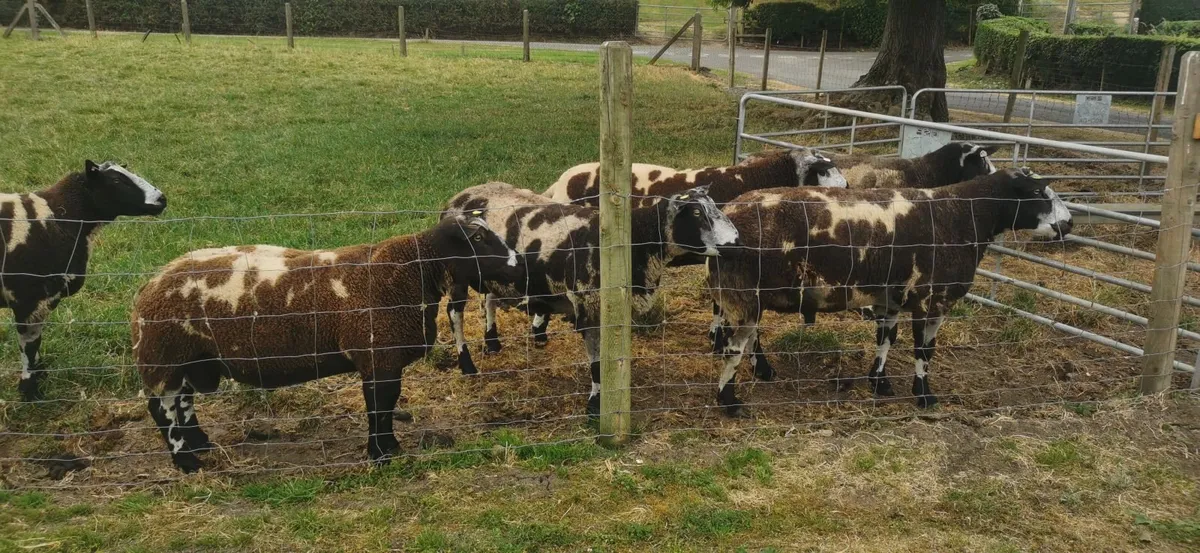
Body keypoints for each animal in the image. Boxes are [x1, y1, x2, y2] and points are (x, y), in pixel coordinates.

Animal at [1, 160, 167, 401]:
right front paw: (30, 390)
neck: (59, 216)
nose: (162, 199)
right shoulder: (28, 298)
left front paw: (40, 373)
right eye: (116, 180)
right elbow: (30, 345)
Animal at [131, 215, 520, 473]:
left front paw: (389, 448)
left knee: (183, 402)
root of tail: (148, 287)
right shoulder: (378, 355)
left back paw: (201, 443)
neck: (410, 271)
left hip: (188, 358)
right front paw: (381, 454)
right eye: (478, 239)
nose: (519, 264)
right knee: (163, 410)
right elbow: (379, 408)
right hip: (163, 356)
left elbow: (386, 405)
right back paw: (187, 462)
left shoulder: (385, 357)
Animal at [441, 181, 739, 416]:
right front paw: (596, 406)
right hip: (456, 276)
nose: (735, 242)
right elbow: (596, 365)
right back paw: (466, 364)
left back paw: (492, 342)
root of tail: (458, 198)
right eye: (697, 212)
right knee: (454, 313)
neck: (637, 242)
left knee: (489, 299)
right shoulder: (591, 307)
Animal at [707, 168, 1073, 415]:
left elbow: (887, 338)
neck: (960, 216)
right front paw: (924, 395)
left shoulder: (892, 296)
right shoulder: (929, 297)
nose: (1069, 224)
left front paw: (879, 381)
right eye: (1039, 193)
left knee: (744, 339)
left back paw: (763, 372)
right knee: (735, 347)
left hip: (745, 295)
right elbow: (924, 350)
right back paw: (729, 401)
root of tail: (731, 212)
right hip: (742, 293)